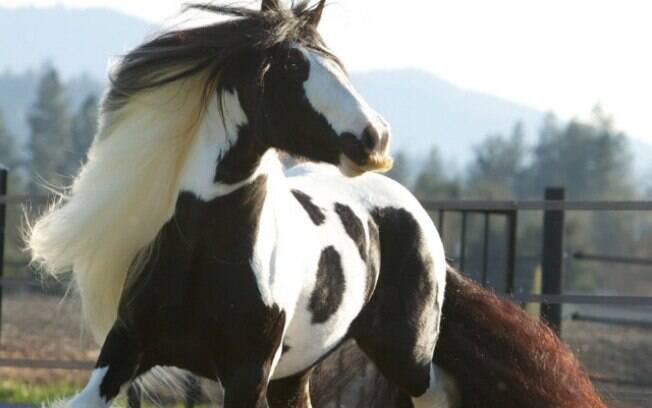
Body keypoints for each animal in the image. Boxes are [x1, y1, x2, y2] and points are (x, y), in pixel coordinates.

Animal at [30, 1, 608, 406]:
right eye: (291, 67)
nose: (376, 138)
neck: (204, 255)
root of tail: (413, 213)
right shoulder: (123, 350)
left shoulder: (246, 375)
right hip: (300, 370)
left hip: (407, 352)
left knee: (439, 392)